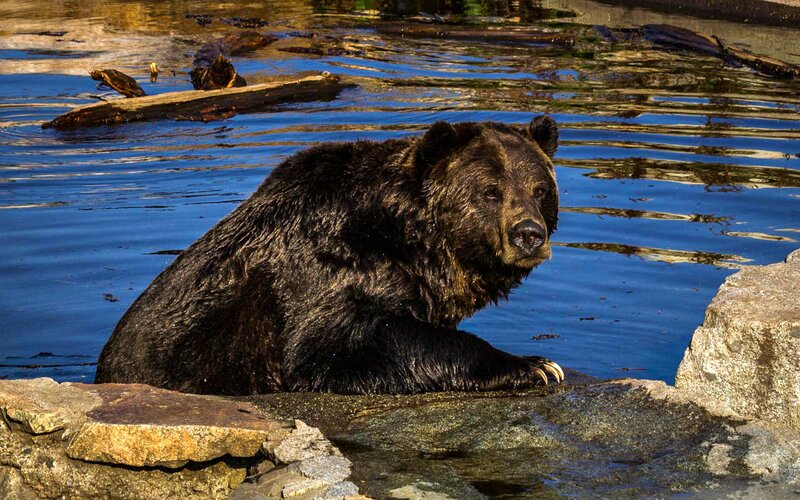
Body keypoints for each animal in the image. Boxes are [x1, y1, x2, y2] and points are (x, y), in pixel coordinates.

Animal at [95, 116, 564, 395]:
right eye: (489, 191)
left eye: (540, 189)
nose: (528, 234)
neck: (413, 246)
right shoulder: (326, 271)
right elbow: (337, 347)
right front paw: (535, 364)